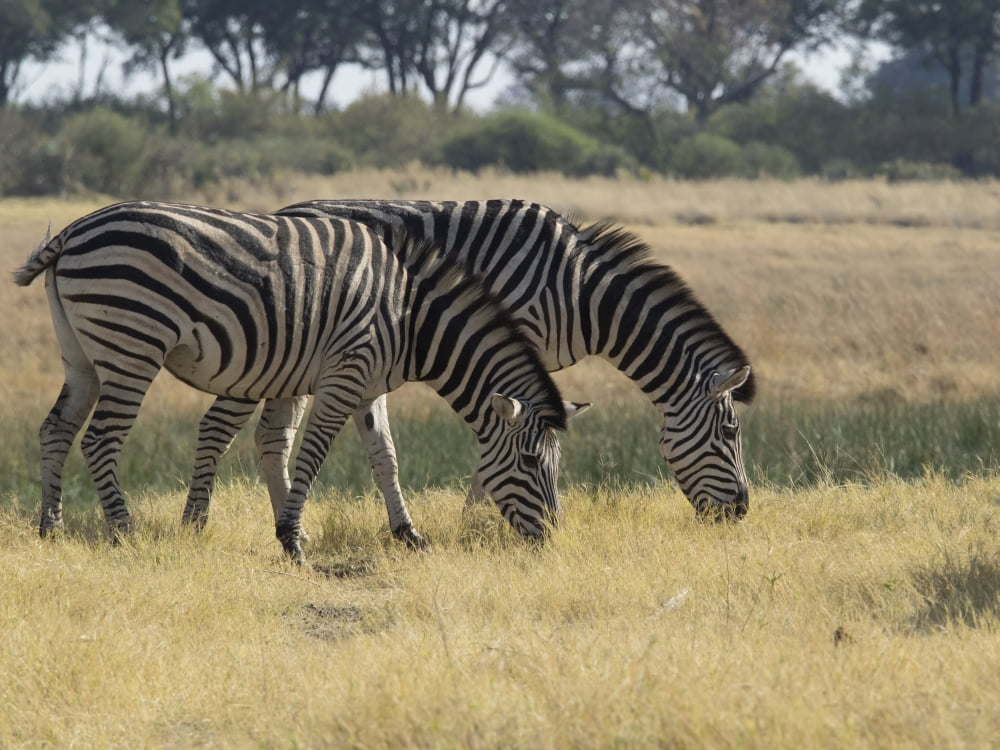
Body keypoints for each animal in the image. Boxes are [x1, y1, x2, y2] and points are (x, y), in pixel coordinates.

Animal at [13, 200, 589, 561]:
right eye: (531, 461)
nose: (551, 538)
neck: (410, 316)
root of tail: (74, 230)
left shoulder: (370, 383)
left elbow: (385, 456)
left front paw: (409, 534)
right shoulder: (345, 374)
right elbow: (313, 453)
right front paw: (291, 540)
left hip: (81, 356)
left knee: (56, 428)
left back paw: (51, 528)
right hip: (132, 345)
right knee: (100, 438)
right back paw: (123, 532)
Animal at [186, 199, 755, 547]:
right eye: (731, 432)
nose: (742, 512)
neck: (576, 291)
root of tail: (284, 211)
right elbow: (497, 449)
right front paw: (475, 525)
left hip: (300, 362)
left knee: (270, 435)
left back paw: (291, 528)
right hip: (269, 355)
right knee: (218, 427)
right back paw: (199, 525)